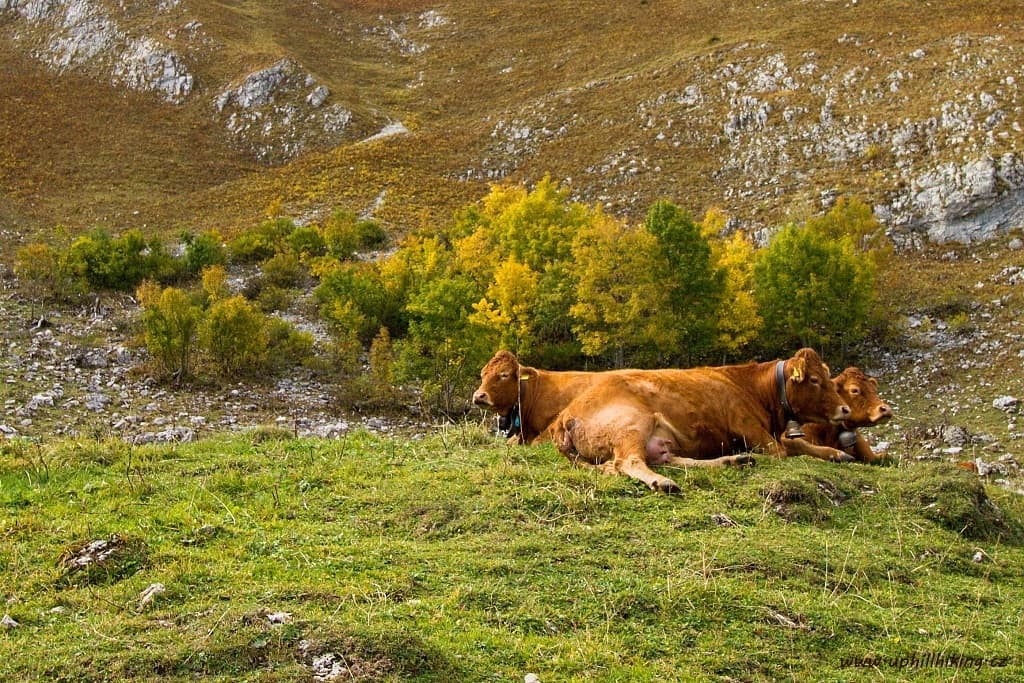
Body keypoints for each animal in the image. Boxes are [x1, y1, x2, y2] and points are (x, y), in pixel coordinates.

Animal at [548, 350, 851, 493]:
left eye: (827, 376)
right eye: (814, 380)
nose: (845, 409)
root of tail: (565, 415)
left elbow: (799, 444)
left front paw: (837, 453)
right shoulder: (754, 432)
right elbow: (787, 451)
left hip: (658, 440)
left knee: (672, 460)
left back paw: (735, 461)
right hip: (632, 424)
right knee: (627, 462)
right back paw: (662, 482)